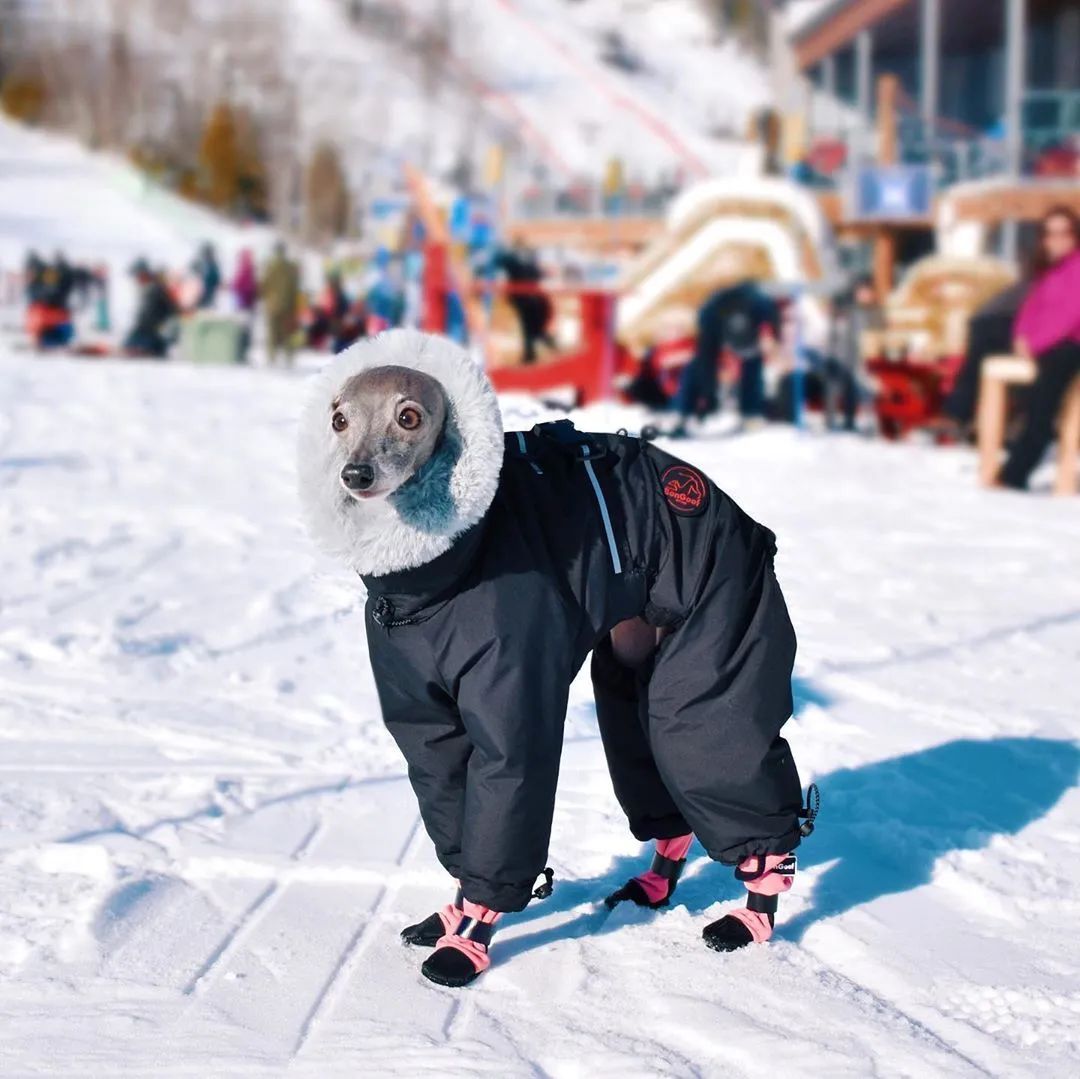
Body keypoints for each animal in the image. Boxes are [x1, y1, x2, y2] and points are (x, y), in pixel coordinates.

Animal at [295, 328, 812, 989]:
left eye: (408, 416)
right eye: (338, 420)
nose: (356, 474)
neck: (434, 577)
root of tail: (706, 491)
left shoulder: (511, 698)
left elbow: (510, 790)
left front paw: (468, 942)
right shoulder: (426, 717)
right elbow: (453, 804)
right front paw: (451, 916)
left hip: (716, 643)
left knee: (720, 754)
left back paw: (753, 913)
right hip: (632, 668)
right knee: (651, 757)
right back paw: (655, 884)